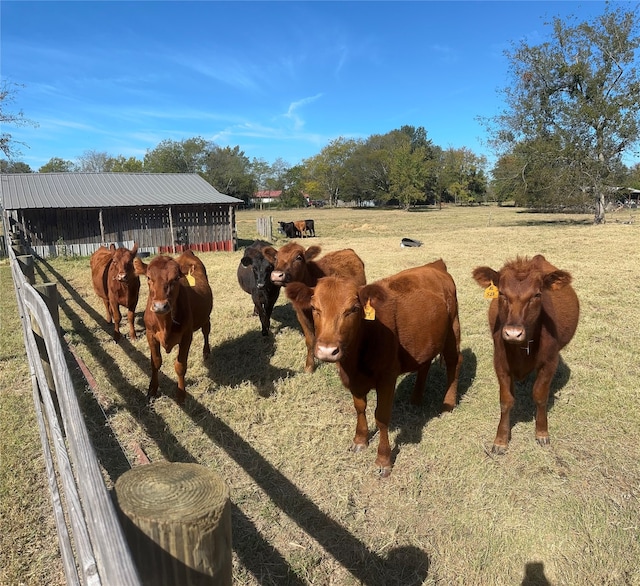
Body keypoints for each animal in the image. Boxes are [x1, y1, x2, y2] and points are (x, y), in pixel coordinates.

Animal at [134, 246, 214, 402]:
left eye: (176, 278)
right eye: (148, 278)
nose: (160, 306)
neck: (165, 323)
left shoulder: (186, 337)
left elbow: (180, 366)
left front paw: (181, 395)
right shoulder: (150, 334)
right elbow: (155, 362)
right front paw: (152, 389)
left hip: (206, 316)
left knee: (206, 331)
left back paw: (206, 352)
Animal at [264, 241, 364, 370]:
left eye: (298, 257)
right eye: (276, 258)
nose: (277, 275)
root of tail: (347, 250)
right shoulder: (301, 315)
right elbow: (310, 341)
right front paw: (309, 366)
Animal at [284, 258, 460, 474]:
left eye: (353, 309)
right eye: (315, 308)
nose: (327, 350)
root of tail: (435, 265)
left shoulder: (387, 378)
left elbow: (381, 417)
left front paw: (383, 459)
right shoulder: (353, 379)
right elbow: (360, 407)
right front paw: (360, 439)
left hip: (453, 329)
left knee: (454, 362)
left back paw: (448, 403)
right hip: (427, 338)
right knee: (425, 364)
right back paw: (416, 398)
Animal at [470, 253, 580, 450]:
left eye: (537, 294)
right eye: (502, 293)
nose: (513, 333)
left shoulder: (549, 363)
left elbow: (540, 396)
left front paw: (542, 432)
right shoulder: (500, 362)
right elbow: (506, 400)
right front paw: (501, 439)